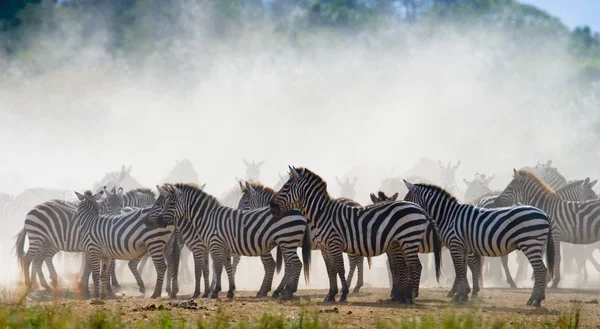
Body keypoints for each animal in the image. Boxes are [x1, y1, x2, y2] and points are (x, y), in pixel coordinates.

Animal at [150, 182, 312, 300]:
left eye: (170, 204)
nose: (157, 221)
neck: (207, 218)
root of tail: (299, 211)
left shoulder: (213, 245)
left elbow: (215, 268)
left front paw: (213, 292)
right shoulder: (223, 247)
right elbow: (227, 268)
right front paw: (230, 291)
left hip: (287, 240)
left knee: (296, 264)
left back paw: (288, 292)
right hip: (286, 242)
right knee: (290, 264)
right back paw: (280, 291)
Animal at [268, 165, 440, 304]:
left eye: (286, 187)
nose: (271, 206)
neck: (322, 214)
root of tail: (419, 208)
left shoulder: (335, 243)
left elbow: (340, 269)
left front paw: (343, 294)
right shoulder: (325, 247)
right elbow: (331, 270)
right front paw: (331, 295)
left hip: (408, 239)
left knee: (416, 266)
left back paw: (410, 297)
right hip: (402, 242)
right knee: (408, 266)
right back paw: (404, 296)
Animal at [404, 179, 552, 304]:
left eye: (407, 199)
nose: (405, 213)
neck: (449, 215)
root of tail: (545, 214)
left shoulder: (455, 244)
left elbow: (459, 270)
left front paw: (459, 295)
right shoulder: (462, 247)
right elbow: (462, 270)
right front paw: (462, 294)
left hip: (530, 244)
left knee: (540, 269)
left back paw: (534, 299)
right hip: (537, 246)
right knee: (541, 270)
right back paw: (538, 298)